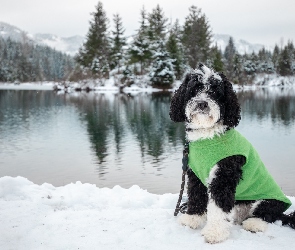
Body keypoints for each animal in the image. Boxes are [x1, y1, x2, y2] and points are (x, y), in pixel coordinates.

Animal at [170, 63, 295, 243]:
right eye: (194, 89)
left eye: (215, 92)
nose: (202, 104)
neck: (208, 135)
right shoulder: (195, 174)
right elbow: (196, 196)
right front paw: (192, 219)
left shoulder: (223, 176)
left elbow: (218, 207)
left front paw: (215, 233)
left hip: (268, 201)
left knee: (267, 214)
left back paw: (254, 224)